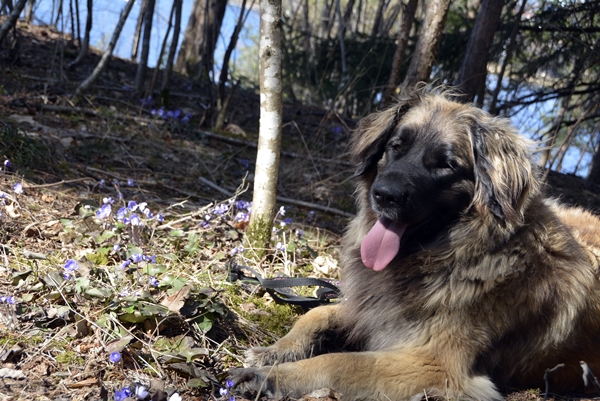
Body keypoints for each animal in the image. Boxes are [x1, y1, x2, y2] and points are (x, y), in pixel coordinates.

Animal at [227, 88, 600, 400]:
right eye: (396, 147)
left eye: (446, 165)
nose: (384, 195)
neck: (454, 254)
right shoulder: (370, 308)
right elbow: (316, 313)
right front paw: (275, 351)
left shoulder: (436, 365)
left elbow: (340, 362)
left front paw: (270, 376)